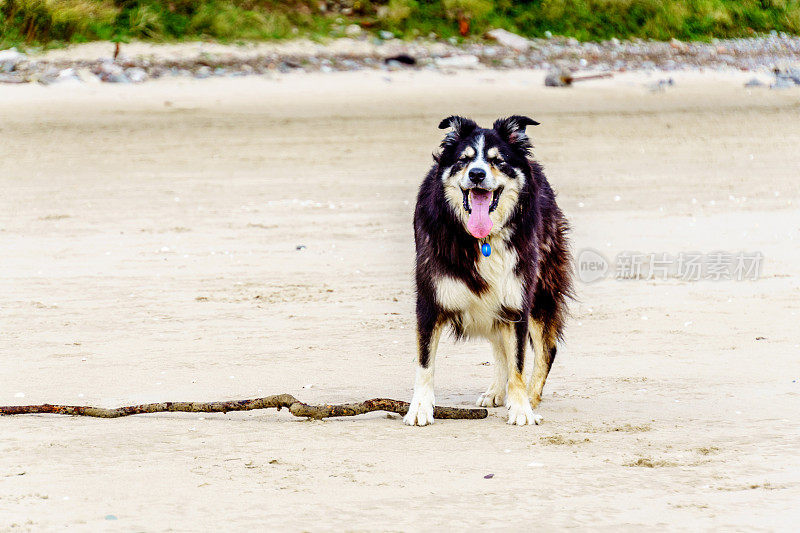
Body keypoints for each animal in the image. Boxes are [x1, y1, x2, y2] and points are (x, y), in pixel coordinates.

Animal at [404, 114, 572, 426]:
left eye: (498, 160)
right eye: (464, 159)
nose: (477, 175)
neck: (480, 239)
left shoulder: (517, 301)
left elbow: (518, 360)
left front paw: (521, 408)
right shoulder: (430, 301)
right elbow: (425, 362)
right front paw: (420, 407)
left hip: (539, 292)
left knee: (546, 349)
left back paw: (530, 398)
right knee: (499, 346)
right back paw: (496, 391)